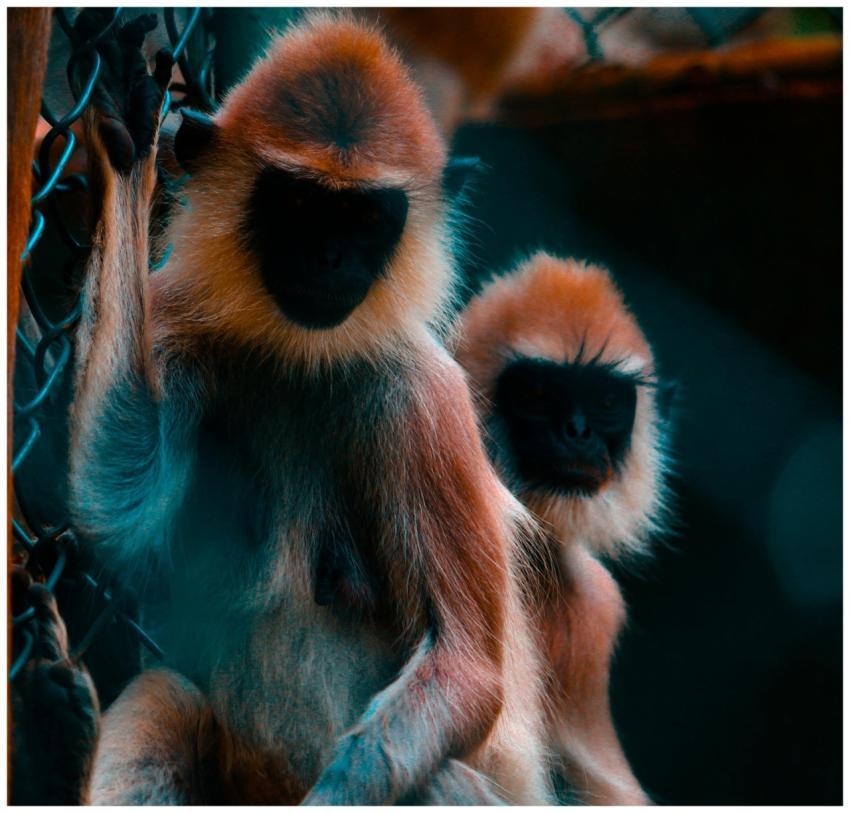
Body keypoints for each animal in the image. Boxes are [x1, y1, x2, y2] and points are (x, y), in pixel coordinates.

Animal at [62, 10, 551, 805]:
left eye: (364, 216)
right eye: (300, 205)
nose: (329, 257)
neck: (301, 356)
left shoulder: (425, 398)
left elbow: (470, 674)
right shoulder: (175, 316)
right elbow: (114, 507)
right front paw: (129, 139)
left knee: (435, 778)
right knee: (167, 696)